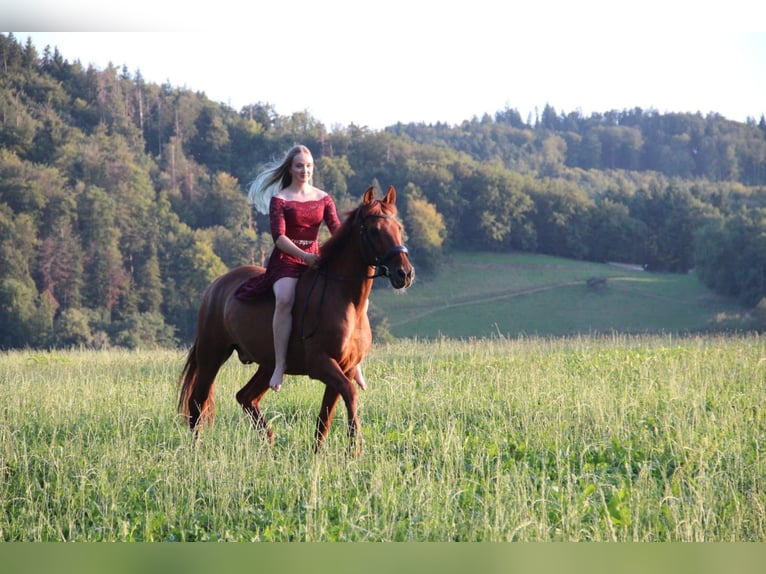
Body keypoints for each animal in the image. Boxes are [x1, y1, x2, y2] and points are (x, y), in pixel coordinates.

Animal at [177, 187, 414, 456]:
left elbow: (326, 415)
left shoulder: (343, 368)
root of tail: (216, 286)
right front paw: (353, 449)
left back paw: (269, 442)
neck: (345, 298)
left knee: (246, 397)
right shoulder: (321, 364)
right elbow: (350, 393)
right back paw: (197, 450)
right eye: (374, 230)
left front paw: (318, 453)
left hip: (267, 365)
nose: (405, 273)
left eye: (398, 227)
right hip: (212, 355)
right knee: (197, 402)